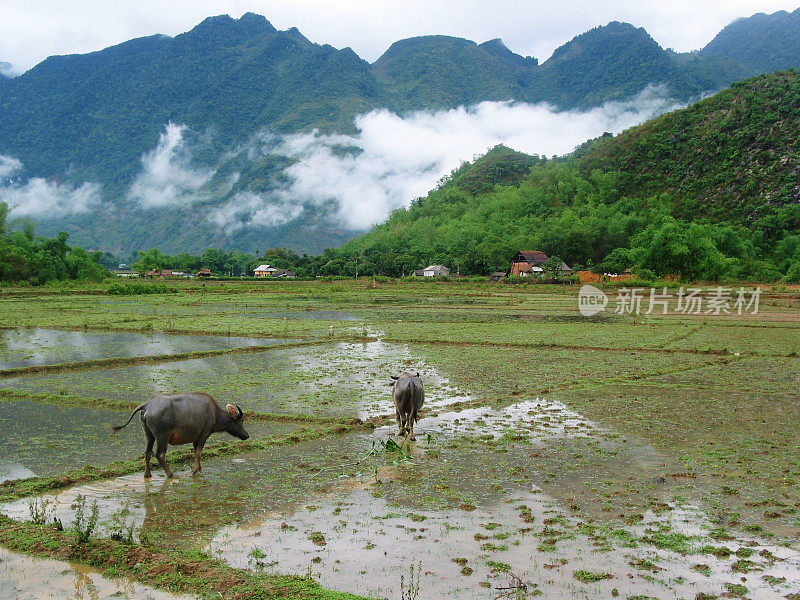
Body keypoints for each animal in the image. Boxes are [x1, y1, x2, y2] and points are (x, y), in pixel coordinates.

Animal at [112, 394, 248, 478]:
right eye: (241, 420)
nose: (246, 435)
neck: (214, 413)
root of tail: (147, 406)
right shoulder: (204, 434)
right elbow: (198, 452)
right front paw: (195, 470)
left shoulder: (196, 437)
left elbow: (196, 452)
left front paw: (199, 468)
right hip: (162, 437)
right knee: (159, 454)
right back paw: (171, 474)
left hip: (149, 435)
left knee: (147, 452)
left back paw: (147, 474)